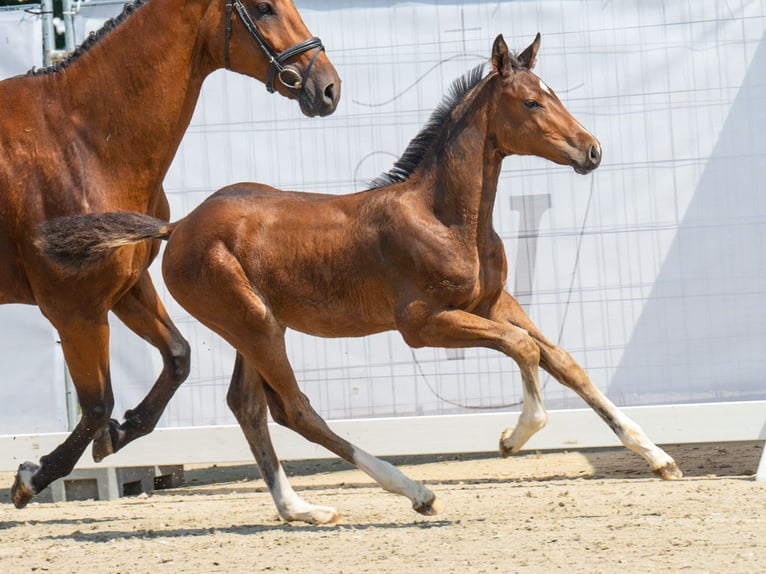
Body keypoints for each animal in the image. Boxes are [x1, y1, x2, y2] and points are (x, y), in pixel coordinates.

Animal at [1, 0, 340, 508]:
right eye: (263, 8)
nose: (328, 87)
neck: (80, 142)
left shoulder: (126, 288)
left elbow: (177, 358)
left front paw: (120, 433)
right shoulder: (74, 309)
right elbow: (97, 404)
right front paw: (33, 476)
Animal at [39, 33, 684, 524]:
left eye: (553, 95)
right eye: (530, 103)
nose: (592, 151)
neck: (444, 214)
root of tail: (178, 227)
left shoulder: (494, 301)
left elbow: (565, 361)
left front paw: (658, 459)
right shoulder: (423, 325)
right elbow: (523, 349)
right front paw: (512, 437)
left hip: (253, 325)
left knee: (249, 407)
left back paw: (300, 510)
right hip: (254, 323)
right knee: (295, 409)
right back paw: (415, 492)